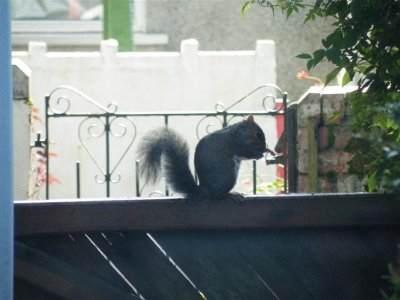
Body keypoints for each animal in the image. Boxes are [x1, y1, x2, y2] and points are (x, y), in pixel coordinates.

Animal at [137, 115, 266, 202]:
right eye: (258, 134)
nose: (265, 146)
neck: (239, 132)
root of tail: (203, 191)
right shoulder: (237, 143)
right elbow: (247, 153)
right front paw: (260, 154)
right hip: (228, 177)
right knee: (217, 197)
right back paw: (230, 195)